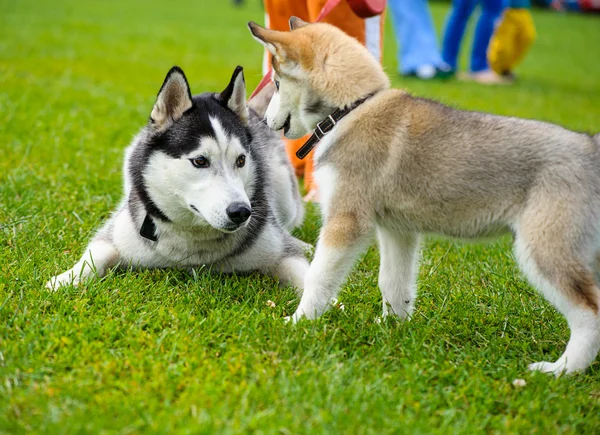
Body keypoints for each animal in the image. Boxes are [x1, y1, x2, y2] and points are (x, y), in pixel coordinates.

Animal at [246, 17, 600, 374]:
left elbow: (318, 277)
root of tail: (591, 147)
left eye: (277, 83)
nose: (265, 122)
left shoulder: (346, 222)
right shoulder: (397, 231)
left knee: (590, 314)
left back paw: (561, 370)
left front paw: (298, 322)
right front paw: (392, 327)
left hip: (543, 250)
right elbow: (393, 282)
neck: (352, 109)